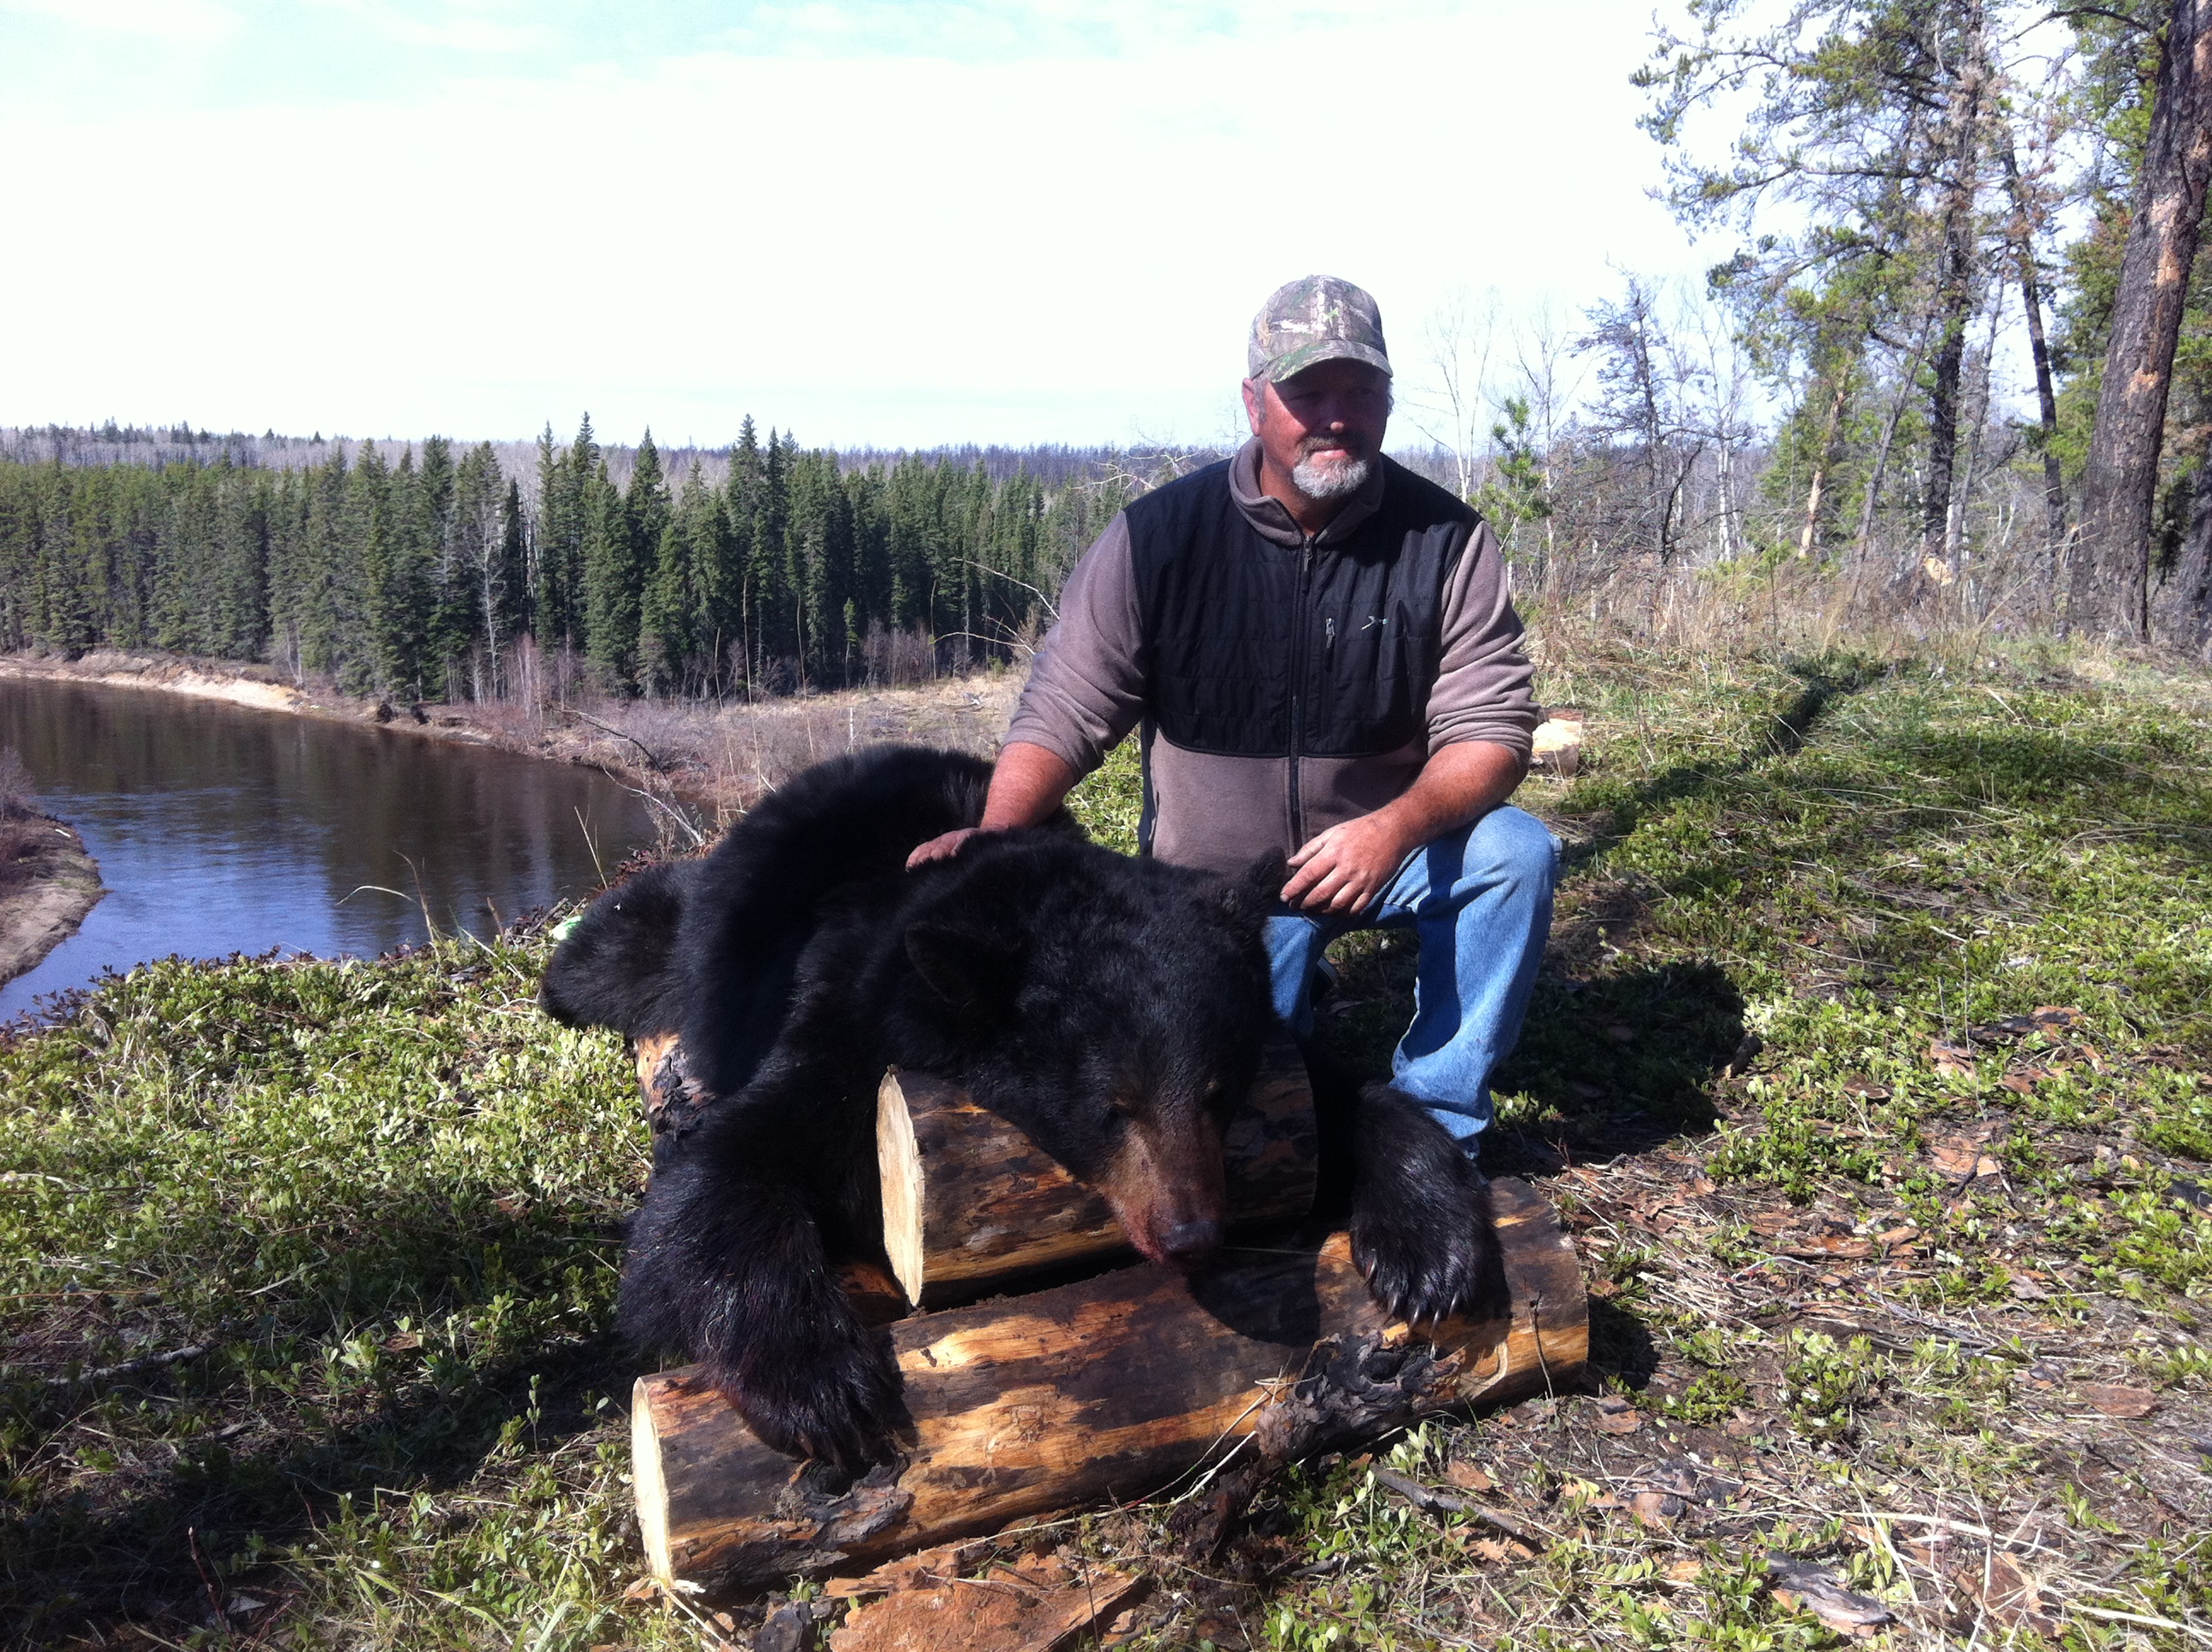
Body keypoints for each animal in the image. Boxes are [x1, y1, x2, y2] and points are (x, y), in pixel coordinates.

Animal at [541, 744, 1508, 1470]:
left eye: (1216, 1091)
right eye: (1111, 1105)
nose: (1190, 1233)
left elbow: (1351, 1097)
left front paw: (1429, 1248)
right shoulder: (842, 1022)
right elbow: (722, 1175)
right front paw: (821, 1385)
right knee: (618, 947)